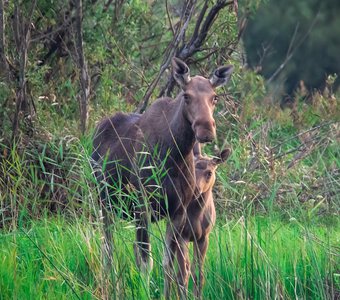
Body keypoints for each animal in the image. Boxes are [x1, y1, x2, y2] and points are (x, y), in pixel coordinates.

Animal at [91, 58, 232, 278]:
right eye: (186, 96)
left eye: (214, 97)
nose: (206, 130)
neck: (175, 155)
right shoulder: (142, 205)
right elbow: (145, 263)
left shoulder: (178, 212)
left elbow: (168, 263)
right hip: (103, 200)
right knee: (108, 248)